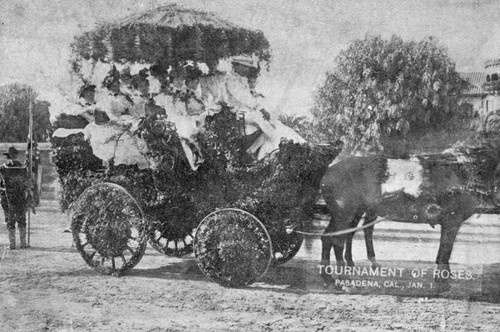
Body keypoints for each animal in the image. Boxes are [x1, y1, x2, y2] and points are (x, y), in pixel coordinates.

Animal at [318, 147, 500, 290]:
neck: (462, 171)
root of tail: (327, 174)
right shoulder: (452, 221)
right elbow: (445, 251)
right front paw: (443, 282)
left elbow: (443, 251)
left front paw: (443, 277)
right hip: (345, 213)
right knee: (338, 242)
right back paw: (346, 281)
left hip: (344, 214)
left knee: (327, 238)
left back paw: (329, 278)